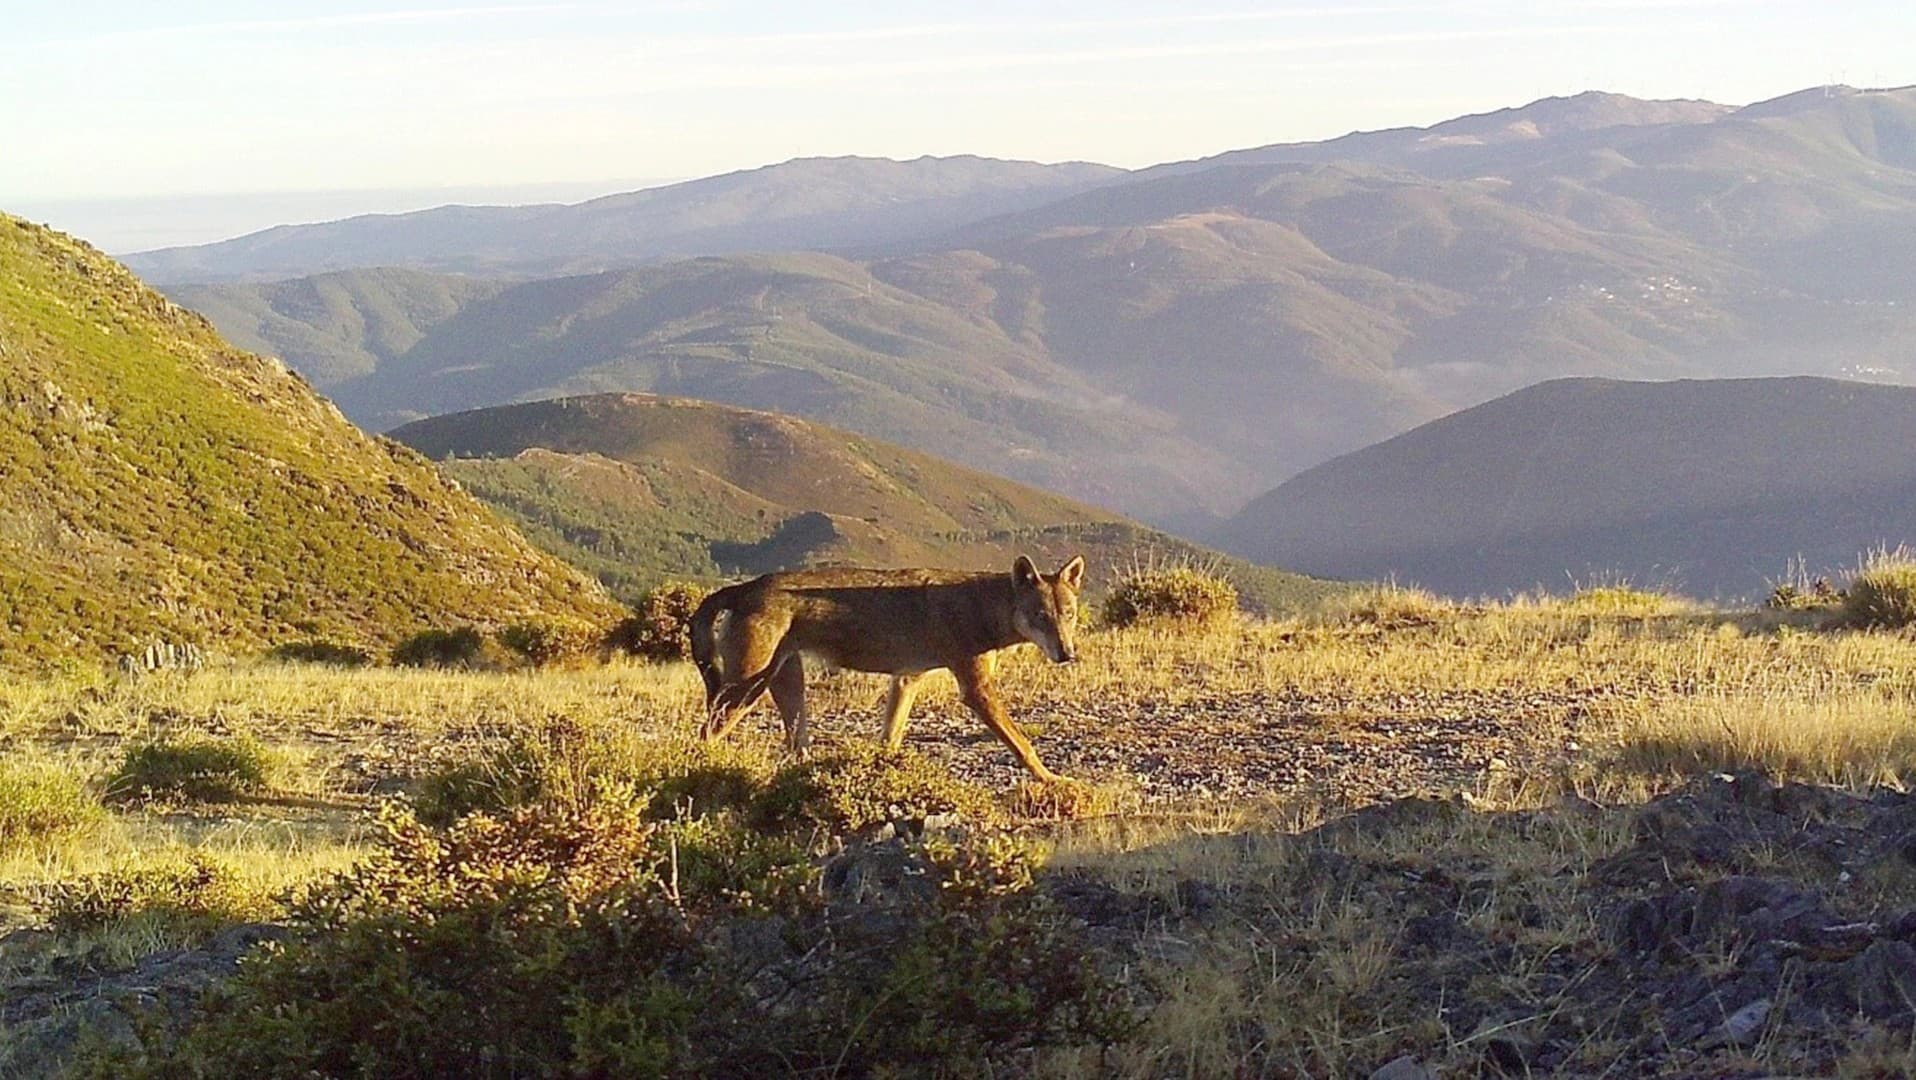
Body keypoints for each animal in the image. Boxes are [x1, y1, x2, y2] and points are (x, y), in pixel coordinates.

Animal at [688, 555, 1085, 782]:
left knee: (795, 745)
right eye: (1041, 616)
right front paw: (1053, 780)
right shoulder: (976, 690)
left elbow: (890, 737)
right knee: (705, 734)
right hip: (744, 693)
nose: (1067, 653)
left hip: (785, 687)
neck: (987, 606)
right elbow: (1023, 745)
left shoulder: (907, 679)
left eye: (1068, 615)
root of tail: (746, 586)